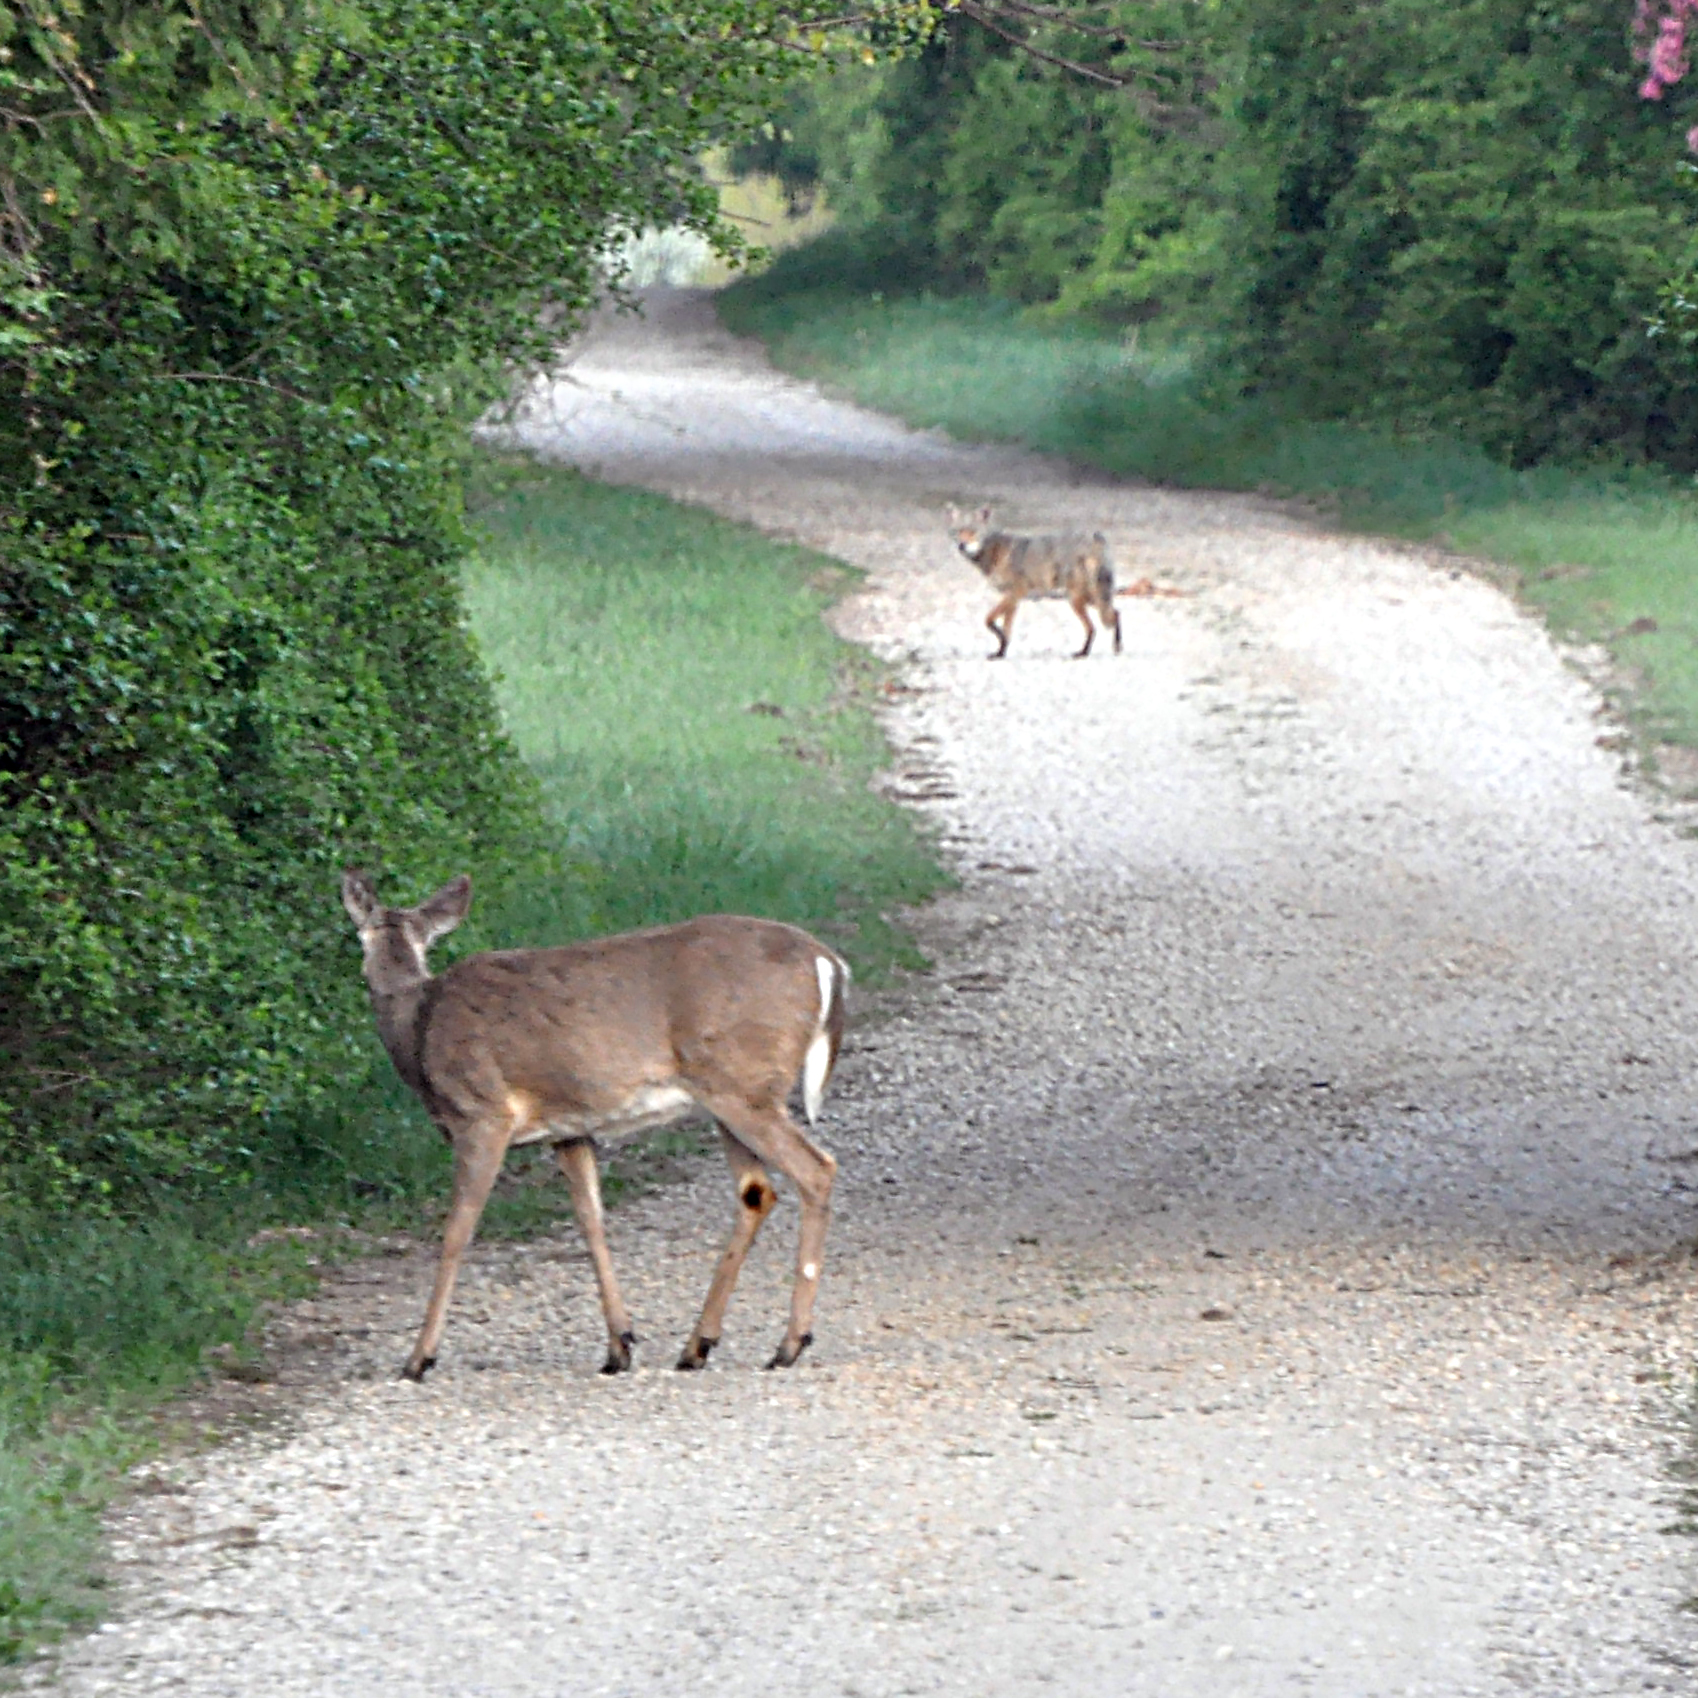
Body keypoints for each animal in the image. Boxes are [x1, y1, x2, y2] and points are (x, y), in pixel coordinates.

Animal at [339, 876, 849, 1378]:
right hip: (731, 1097)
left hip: (743, 1086)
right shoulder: (569, 1128)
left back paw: (789, 1344)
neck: (419, 1029)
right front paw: (619, 1345)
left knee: (816, 1169)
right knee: (757, 1192)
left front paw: (418, 1358)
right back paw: (697, 1346)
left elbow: (456, 1233)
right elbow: (591, 1222)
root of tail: (828, 962)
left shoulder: (481, 1115)